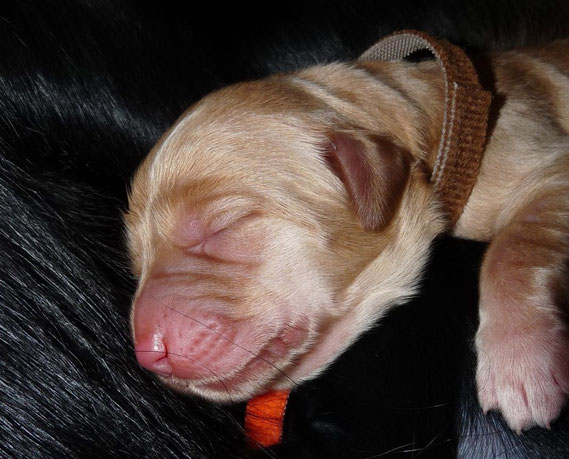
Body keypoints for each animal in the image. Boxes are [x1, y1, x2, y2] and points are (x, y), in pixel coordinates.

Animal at [126, 37, 568, 434]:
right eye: (136, 264)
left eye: (223, 225)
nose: (148, 354)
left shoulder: (549, 165)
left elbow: (515, 250)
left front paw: (520, 362)